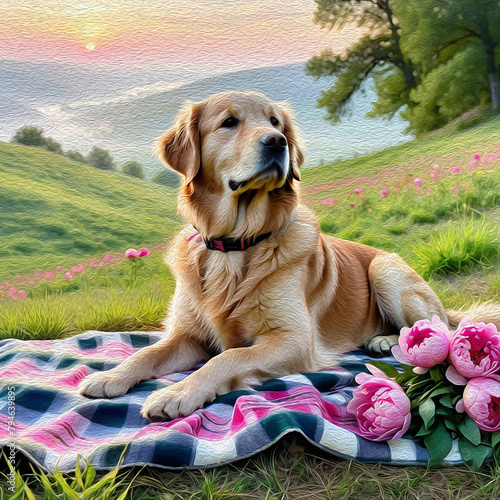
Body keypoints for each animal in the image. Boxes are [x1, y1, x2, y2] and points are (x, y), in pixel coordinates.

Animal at [80, 91, 500, 422]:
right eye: (229, 122)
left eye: (275, 121)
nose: (277, 141)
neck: (236, 244)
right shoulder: (187, 335)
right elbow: (148, 353)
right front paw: (110, 376)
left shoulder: (293, 340)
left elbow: (226, 358)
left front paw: (176, 393)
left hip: (385, 268)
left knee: (440, 332)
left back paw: (393, 341)